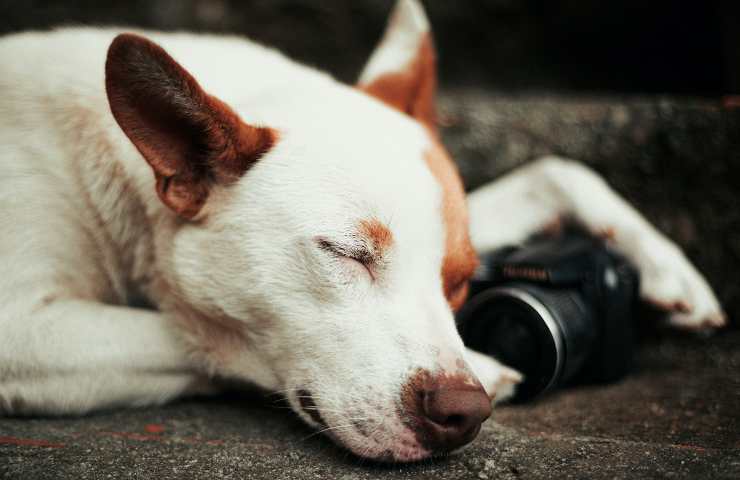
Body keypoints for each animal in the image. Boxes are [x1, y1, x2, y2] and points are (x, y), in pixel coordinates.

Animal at [0, 0, 724, 464]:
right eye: (346, 254)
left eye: (461, 282)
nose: (463, 412)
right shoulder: (24, 333)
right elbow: (201, 333)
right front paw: (492, 366)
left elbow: (555, 167)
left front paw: (670, 270)